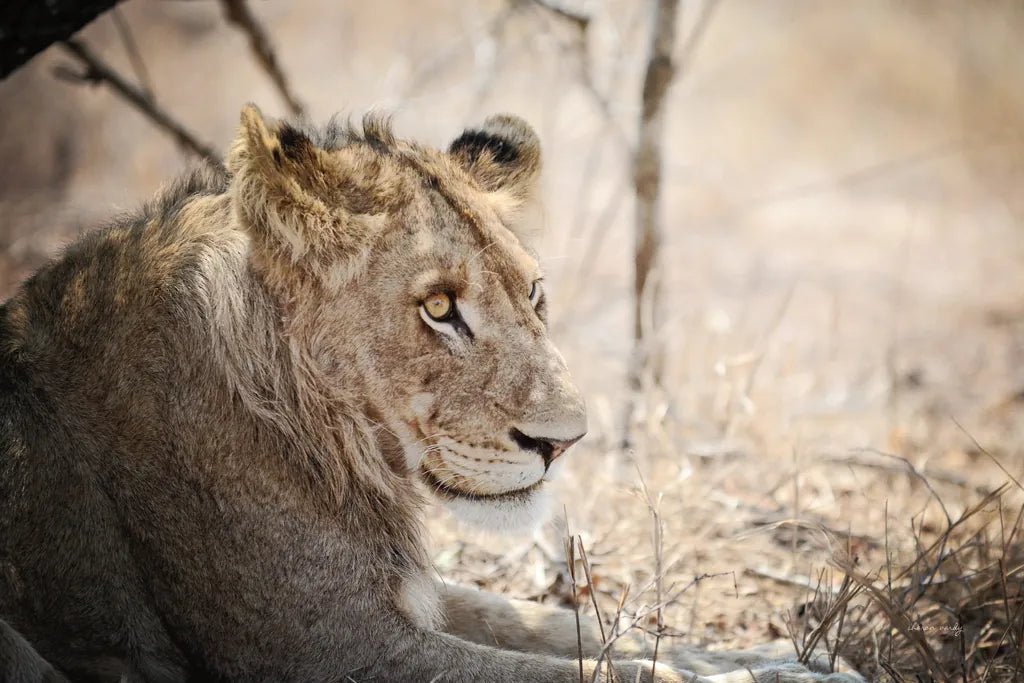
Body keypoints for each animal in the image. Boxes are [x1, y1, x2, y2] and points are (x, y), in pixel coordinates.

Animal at [0, 105, 864, 682]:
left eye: (534, 293)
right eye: (440, 307)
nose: (564, 441)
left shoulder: (398, 598)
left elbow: (560, 623)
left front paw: (778, 660)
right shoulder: (327, 646)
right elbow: (585, 669)